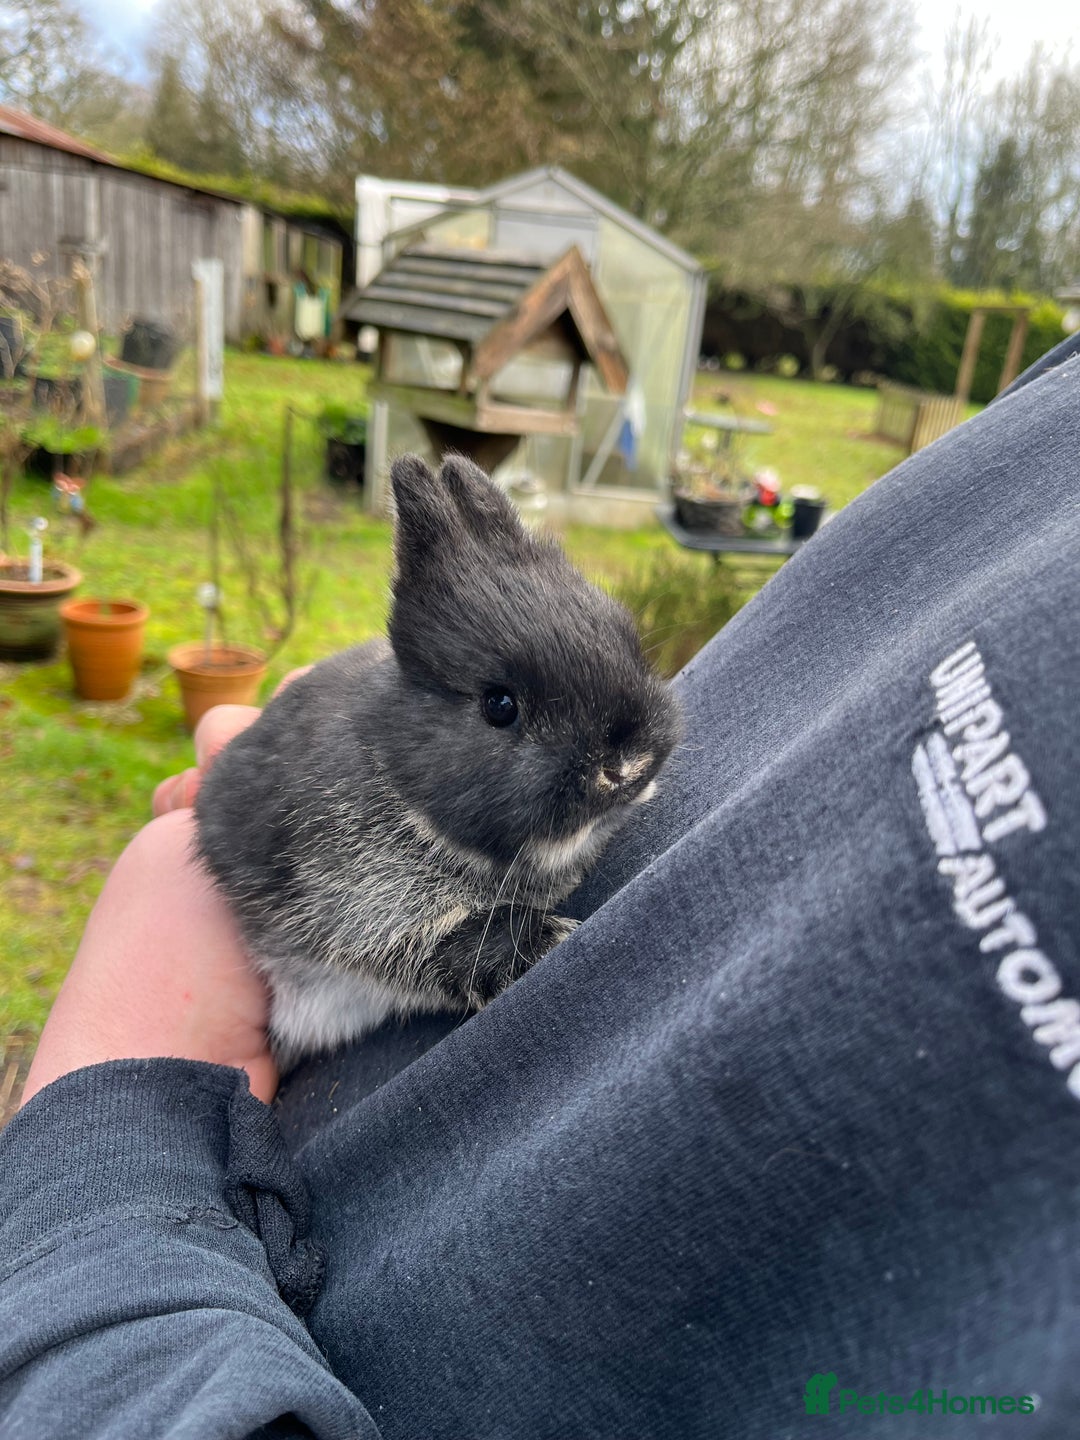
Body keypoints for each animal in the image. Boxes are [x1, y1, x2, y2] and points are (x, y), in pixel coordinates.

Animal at [194, 453, 682, 1065]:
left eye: (625, 635)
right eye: (499, 705)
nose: (628, 767)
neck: (394, 770)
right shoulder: (366, 911)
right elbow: (458, 948)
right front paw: (554, 938)